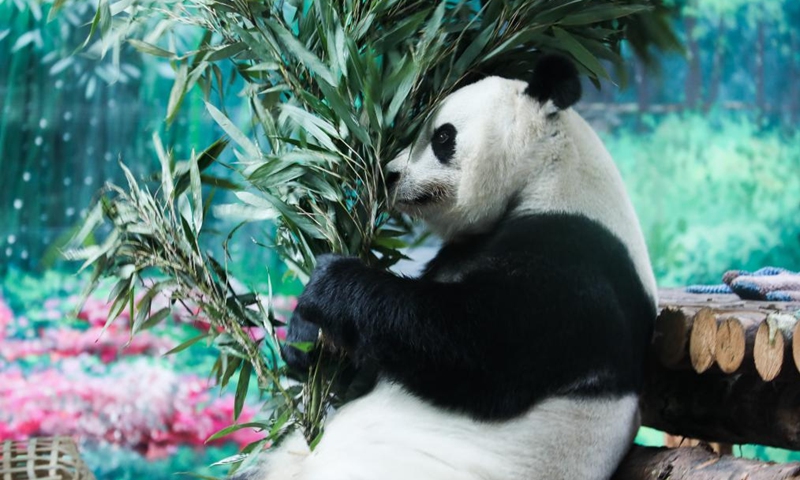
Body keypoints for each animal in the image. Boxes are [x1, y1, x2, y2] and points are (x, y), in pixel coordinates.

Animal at [242, 54, 656, 480]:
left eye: (442, 136)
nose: (388, 174)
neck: (552, 173)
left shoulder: (573, 268)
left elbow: (470, 345)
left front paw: (330, 282)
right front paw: (307, 338)